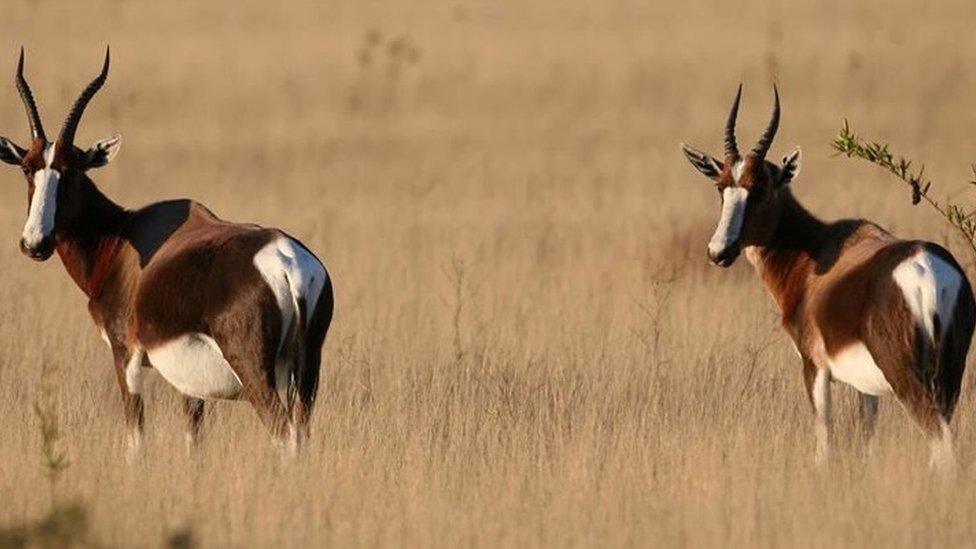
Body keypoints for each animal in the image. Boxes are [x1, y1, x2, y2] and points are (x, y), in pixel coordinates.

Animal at [0, 49, 336, 456]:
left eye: (72, 170)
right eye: (27, 168)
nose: (35, 243)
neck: (124, 239)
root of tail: (289, 265)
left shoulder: (125, 355)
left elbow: (136, 440)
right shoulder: (190, 384)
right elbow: (194, 441)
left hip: (256, 371)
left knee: (283, 434)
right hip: (308, 370)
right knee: (300, 432)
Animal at [684, 84, 972, 470]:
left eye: (759, 188)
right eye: (721, 186)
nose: (719, 251)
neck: (817, 252)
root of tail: (929, 272)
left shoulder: (815, 367)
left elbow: (824, 444)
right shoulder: (867, 388)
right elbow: (867, 442)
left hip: (908, 378)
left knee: (941, 444)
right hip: (949, 376)